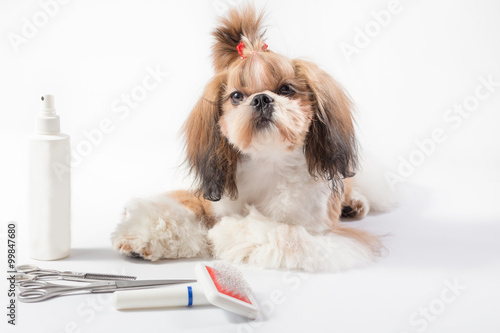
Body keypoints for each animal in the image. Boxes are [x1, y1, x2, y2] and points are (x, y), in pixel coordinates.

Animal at [112, 5, 382, 270]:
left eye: (286, 89)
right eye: (236, 96)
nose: (261, 98)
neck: (268, 163)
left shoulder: (324, 236)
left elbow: (281, 233)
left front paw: (226, 231)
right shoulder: (209, 200)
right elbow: (177, 209)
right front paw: (141, 235)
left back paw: (355, 203)